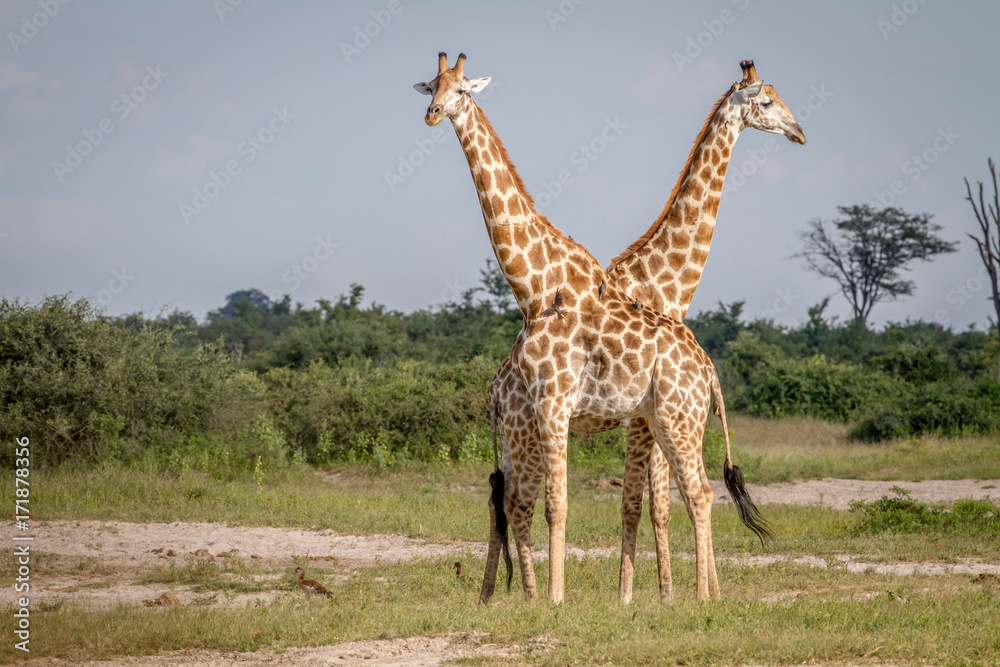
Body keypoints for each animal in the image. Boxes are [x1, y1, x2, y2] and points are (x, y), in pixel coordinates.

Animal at [415, 53, 769, 604]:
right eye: (431, 86)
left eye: (462, 90)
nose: (432, 114)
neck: (537, 289)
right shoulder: (577, 412)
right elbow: (609, 505)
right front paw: (622, 596)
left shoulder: (581, 409)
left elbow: (616, 505)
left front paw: (617, 597)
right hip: (538, 430)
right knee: (510, 501)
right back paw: (502, 595)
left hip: (650, 421)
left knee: (690, 494)